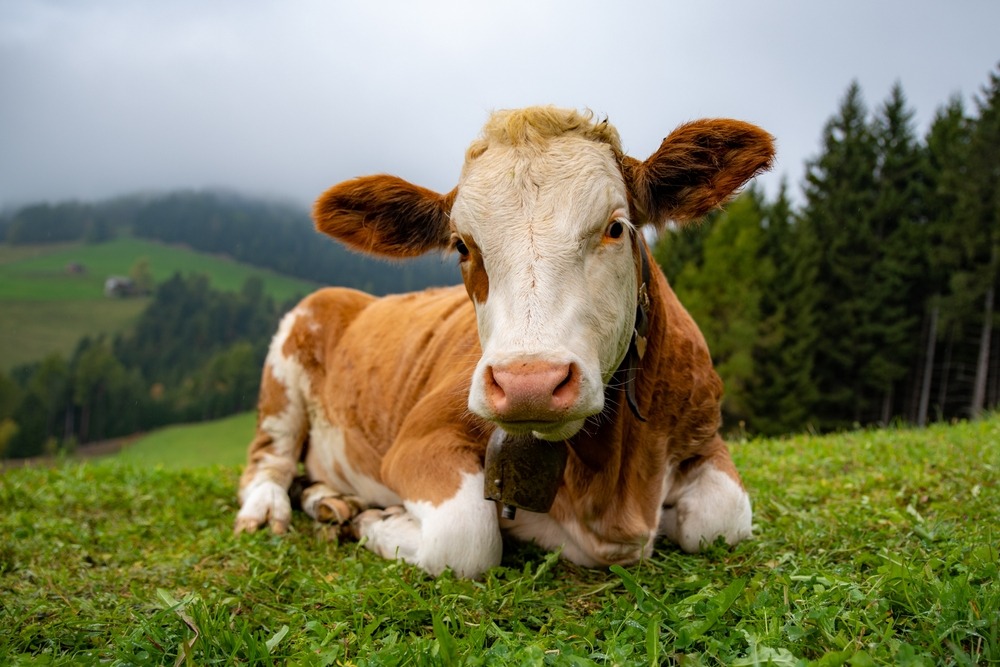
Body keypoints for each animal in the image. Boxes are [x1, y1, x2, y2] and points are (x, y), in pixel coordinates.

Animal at [234, 105, 772, 580]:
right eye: (461, 245)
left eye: (615, 228)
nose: (528, 384)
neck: (613, 495)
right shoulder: (419, 440)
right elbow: (465, 538)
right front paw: (377, 519)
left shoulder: (705, 433)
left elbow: (723, 518)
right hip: (286, 370)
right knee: (269, 458)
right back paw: (276, 509)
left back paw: (330, 501)